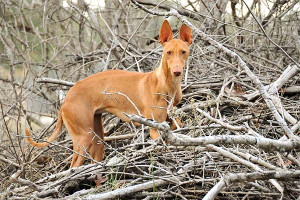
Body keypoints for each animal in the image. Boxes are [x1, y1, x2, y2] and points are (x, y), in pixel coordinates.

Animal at [24, 19, 191, 167]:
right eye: (168, 52)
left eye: (183, 52)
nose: (177, 72)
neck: (166, 84)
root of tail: (66, 98)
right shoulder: (154, 128)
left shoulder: (168, 119)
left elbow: (177, 124)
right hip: (84, 139)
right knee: (72, 168)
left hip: (98, 138)